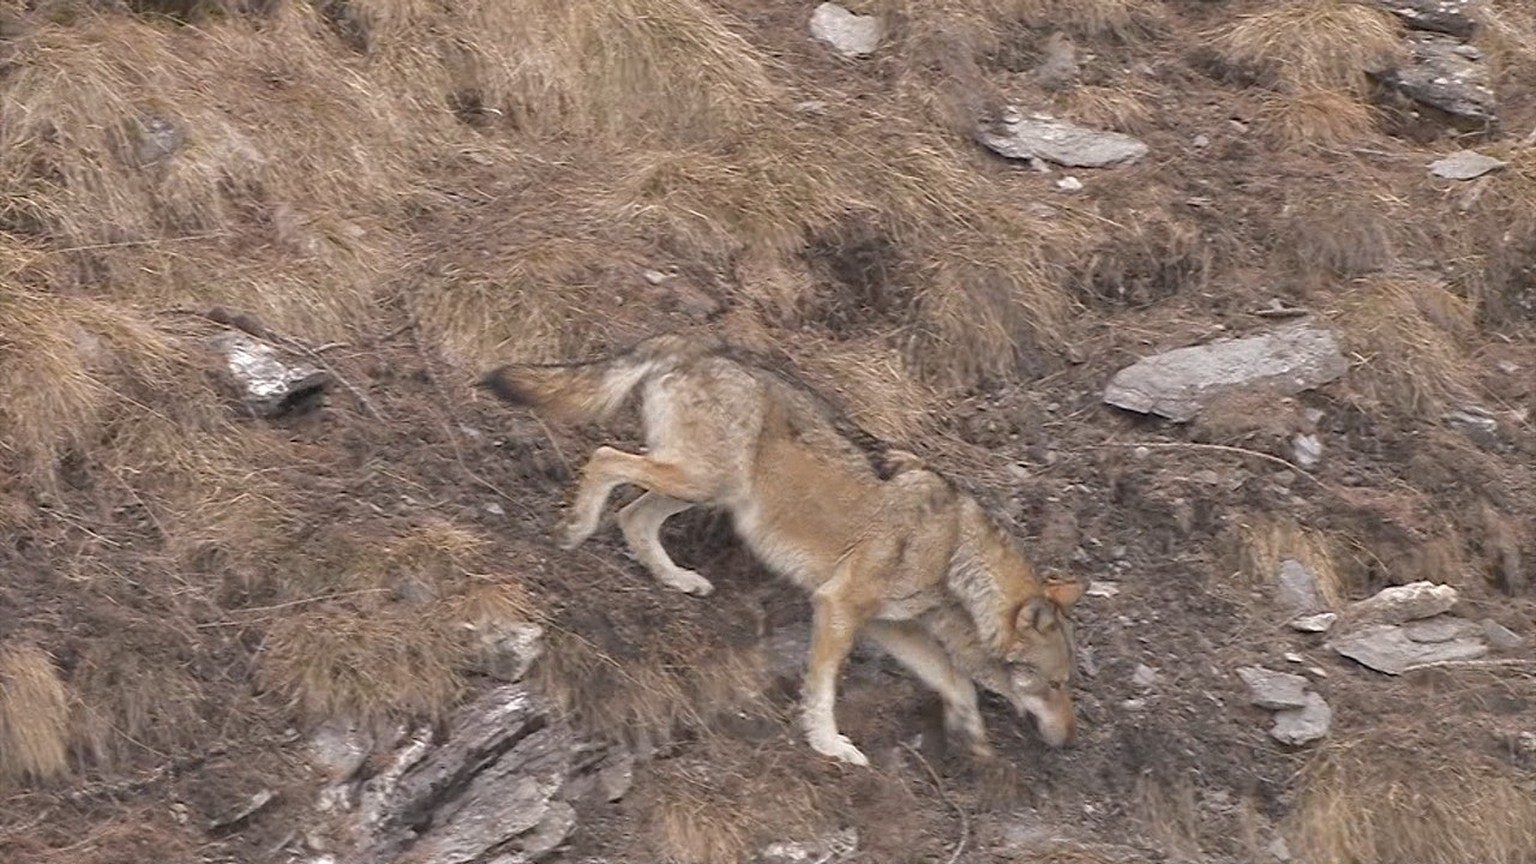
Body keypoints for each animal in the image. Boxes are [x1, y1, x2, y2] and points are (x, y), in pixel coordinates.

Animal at [473, 333, 1087, 762]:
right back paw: (574, 530)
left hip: (712, 490)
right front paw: (829, 745)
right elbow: (823, 689)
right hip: (703, 480)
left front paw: (972, 736)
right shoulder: (839, 608)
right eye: (1055, 683)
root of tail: (692, 343)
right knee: (604, 458)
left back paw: (677, 580)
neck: (954, 555)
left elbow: (954, 680)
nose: (1069, 739)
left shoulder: (886, 626)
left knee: (632, 515)